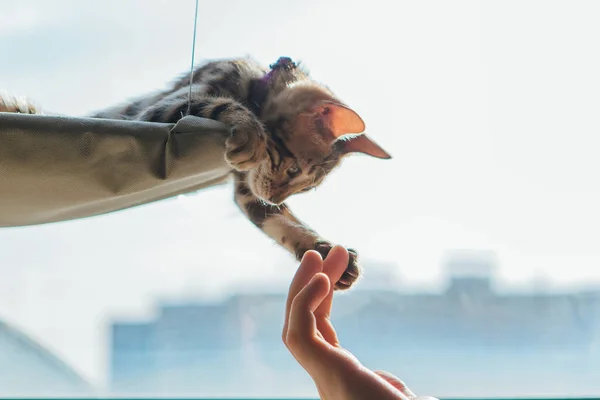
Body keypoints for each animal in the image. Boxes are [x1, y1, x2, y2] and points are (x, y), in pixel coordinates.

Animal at [0, 56, 392, 290]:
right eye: (294, 168)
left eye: (306, 188)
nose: (275, 197)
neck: (254, 85)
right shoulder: (166, 108)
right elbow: (219, 104)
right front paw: (249, 129)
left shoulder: (247, 187)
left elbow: (278, 222)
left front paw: (322, 249)